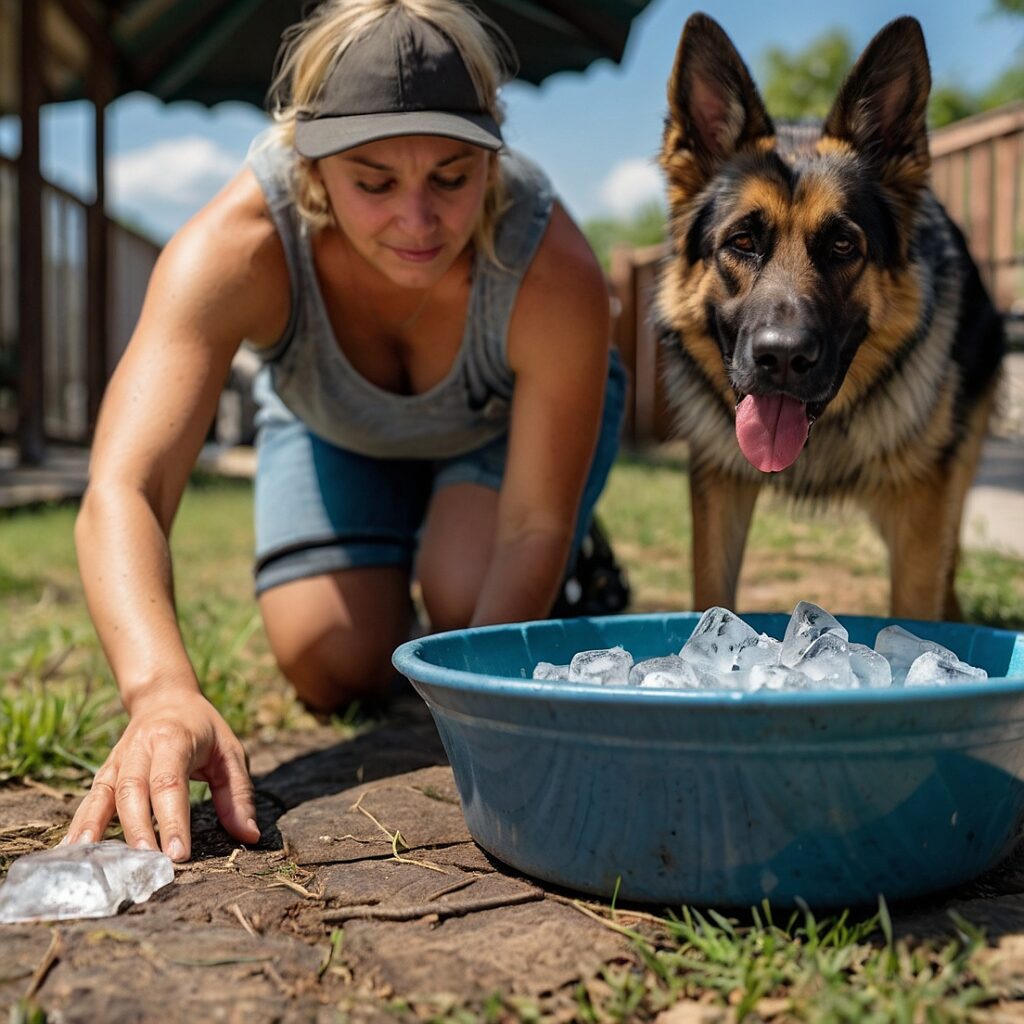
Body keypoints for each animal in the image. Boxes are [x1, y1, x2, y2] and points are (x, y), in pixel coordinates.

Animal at [659, 12, 1003, 618]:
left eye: (843, 246)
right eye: (742, 241)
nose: (781, 358)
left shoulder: (922, 507)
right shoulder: (719, 485)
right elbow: (712, 591)